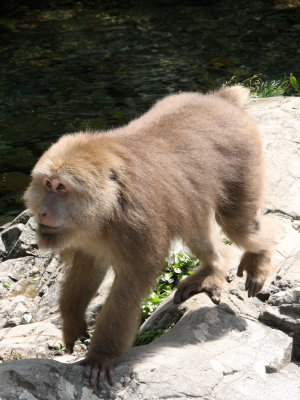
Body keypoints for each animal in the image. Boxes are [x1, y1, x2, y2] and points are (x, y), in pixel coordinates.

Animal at [23, 86, 276, 390]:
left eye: (61, 188)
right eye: (47, 184)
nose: (43, 211)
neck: (110, 203)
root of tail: (218, 100)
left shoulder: (137, 224)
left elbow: (131, 284)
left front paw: (101, 356)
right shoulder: (88, 231)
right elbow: (89, 266)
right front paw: (72, 320)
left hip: (242, 161)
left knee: (238, 224)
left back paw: (260, 257)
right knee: (198, 230)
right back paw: (214, 268)